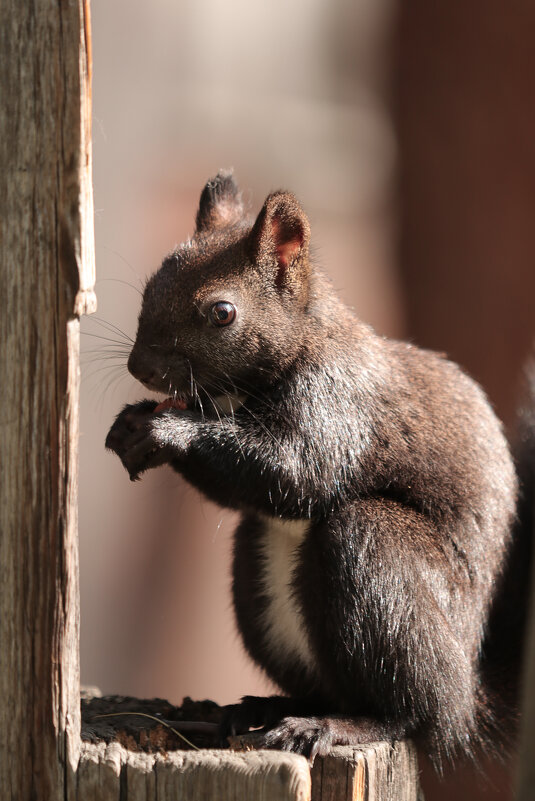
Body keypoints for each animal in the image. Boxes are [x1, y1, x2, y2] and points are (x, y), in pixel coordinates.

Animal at [105, 170, 532, 768]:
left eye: (222, 312)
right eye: (149, 286)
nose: (139, 367)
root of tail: (469, 696)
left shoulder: (337, 401)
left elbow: (293, 473)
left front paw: (167, 431)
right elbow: (246, 491)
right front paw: (131, 424)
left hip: (378, 555)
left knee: (413, 713)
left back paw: (335, 725)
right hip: (257, 579)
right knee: (325, 684)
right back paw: (263, 709)